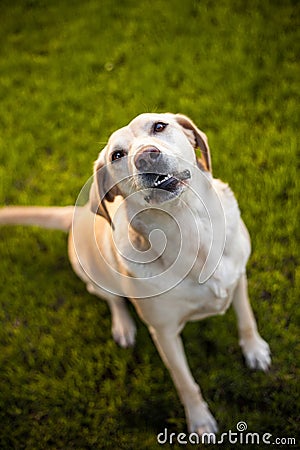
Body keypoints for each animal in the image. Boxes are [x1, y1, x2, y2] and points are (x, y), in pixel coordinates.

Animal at [0, 112, 270, 436]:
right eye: (117, 155)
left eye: (159, 127)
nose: (145, 156)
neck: (191, 231)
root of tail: (77, 211)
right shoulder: (164, 332)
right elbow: (185, 382)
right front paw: (200, 420)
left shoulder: (238, 276)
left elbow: (246, 318)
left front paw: (254, 349)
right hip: (91, 274)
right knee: (112, 299)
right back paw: (123, 327)